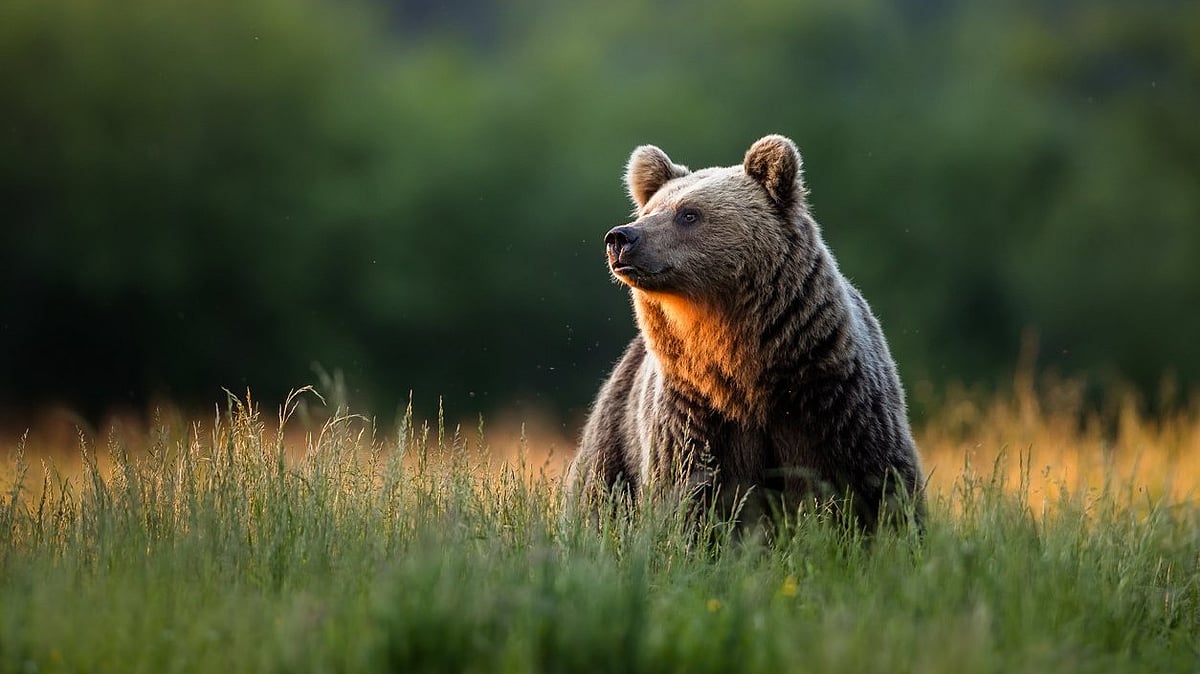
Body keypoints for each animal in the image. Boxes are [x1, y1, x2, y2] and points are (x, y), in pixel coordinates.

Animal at [566, 134, 925, 532]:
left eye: (688, 214)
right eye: (648, 212)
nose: (621, 238)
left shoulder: (833, 401)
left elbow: (879, 487)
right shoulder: (695, 416)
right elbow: (687, 499)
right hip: (614, 437)